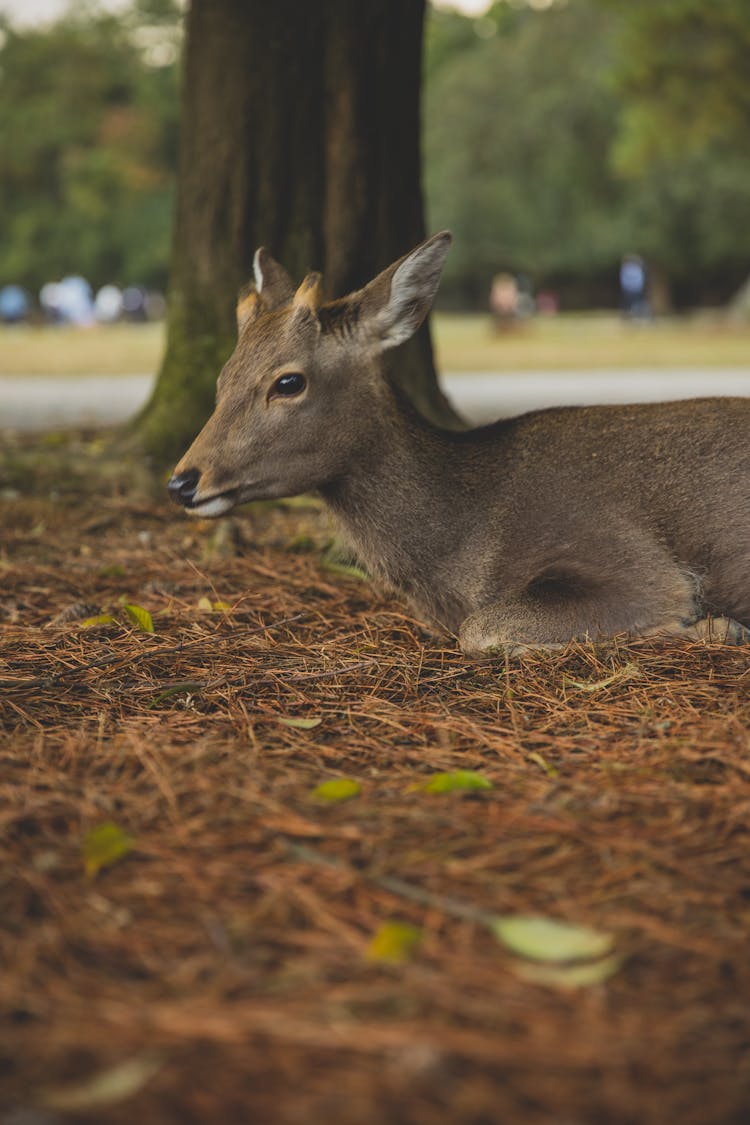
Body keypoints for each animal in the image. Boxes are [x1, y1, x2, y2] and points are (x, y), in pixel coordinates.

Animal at [169, 232, 750, 657]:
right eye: (221, 377)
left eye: (288, 381)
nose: (182, 481)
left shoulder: (633, 562)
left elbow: (481, 630)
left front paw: (713, 628)